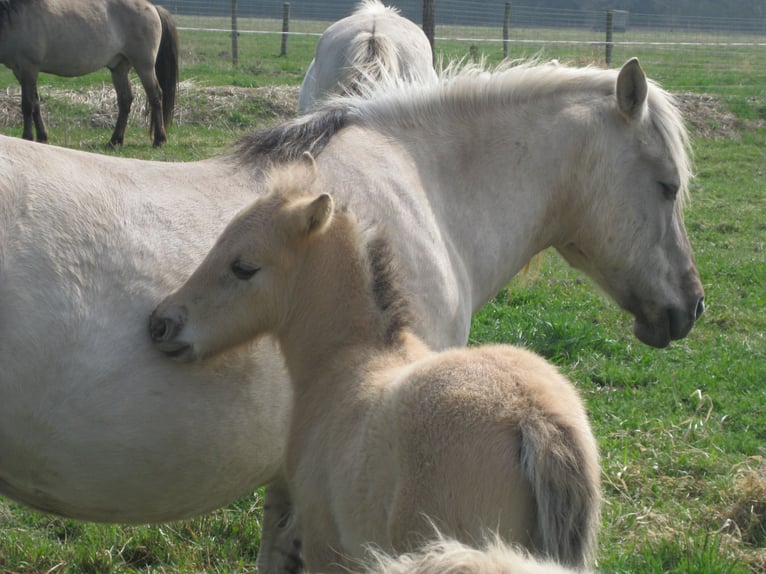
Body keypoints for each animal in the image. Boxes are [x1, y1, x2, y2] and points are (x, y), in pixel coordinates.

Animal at [0, 0, 178, 147]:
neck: (15, 16)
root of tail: (153, 7)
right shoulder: (21, 71)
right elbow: (36, 104)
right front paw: (42, 137)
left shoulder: (28, 68)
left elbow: (27, 105)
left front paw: (27, 137)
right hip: (119, 68)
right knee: (125, 100)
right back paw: (115, 141)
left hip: (144, 66)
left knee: (155, 96)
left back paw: (159, 140)